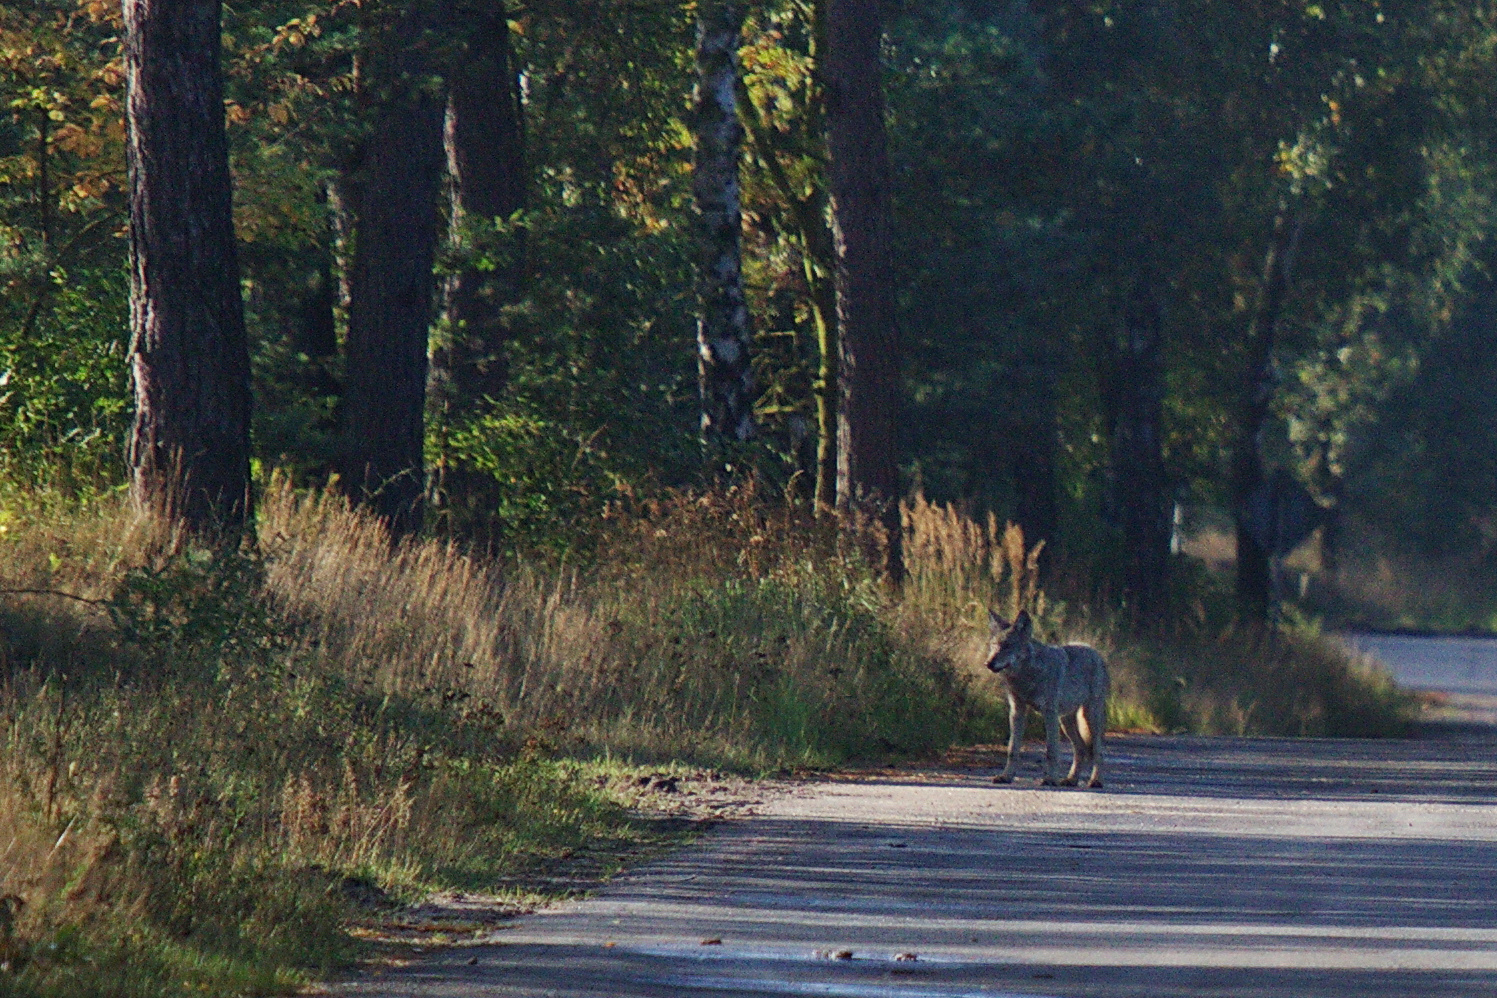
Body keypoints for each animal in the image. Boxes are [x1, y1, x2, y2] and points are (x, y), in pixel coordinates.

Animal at [982, 610, 1113, 790]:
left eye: (1007, 645)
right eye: (993, 645)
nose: (988, 663)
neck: (1028, 677)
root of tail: (1096, 653)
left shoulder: (1049, 713)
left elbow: (1051, 751)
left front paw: (1050, 779)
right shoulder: (1017, 711)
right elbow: (1012, 749)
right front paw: (1006, 776)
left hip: (1090, 717)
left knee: (1099, 751)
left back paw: (1095, 781)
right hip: (1065, 721)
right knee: (1081, 749)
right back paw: (1071, 780)